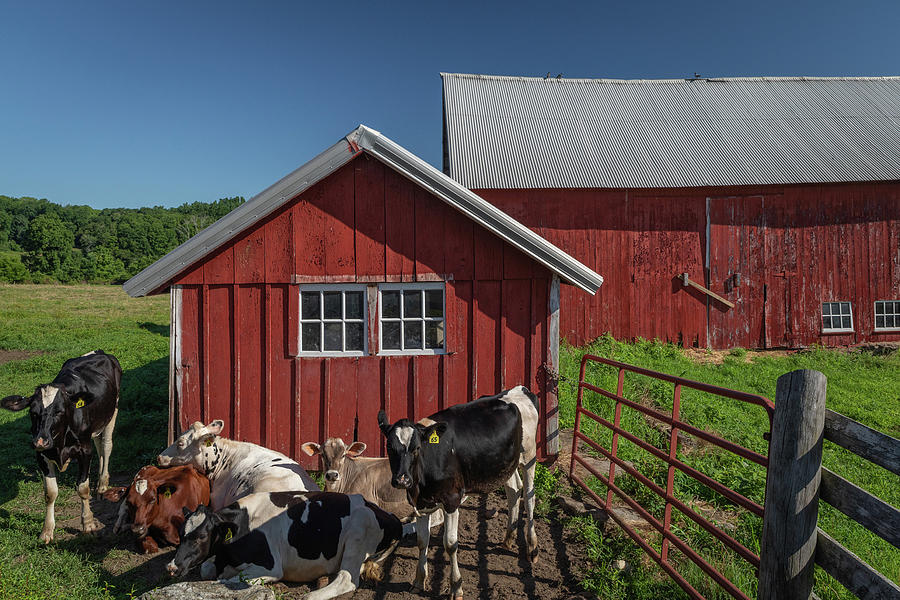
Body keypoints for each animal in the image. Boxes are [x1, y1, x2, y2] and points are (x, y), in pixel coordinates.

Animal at [0, 352, 120, 544]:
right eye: (32, 412)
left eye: (59, 411)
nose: (40, 441)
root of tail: (100, 352)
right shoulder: (42, 456)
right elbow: (50, 493)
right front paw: (47, 531)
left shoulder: (84, 451)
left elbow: (82, 488)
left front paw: (88, 523)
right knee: (99, 446)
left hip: (112, 412)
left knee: (106, 446)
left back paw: (102, 484)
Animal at [376, 384, 536, 600]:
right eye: (390, 448)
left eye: (416, 448)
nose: (402, 480)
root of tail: (519, 389)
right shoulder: (421, 503)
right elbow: (422, 540)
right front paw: (419, 581)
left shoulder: (451, 501)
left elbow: (450, 544)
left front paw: (456, 587)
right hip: (504, 465)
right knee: (514, 491)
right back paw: (508, 538)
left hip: (529, 456)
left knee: (529, 496)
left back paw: (533, 549)